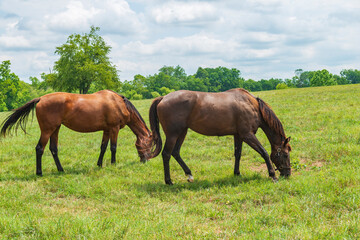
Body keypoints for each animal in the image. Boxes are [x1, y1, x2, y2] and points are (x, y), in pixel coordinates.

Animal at [0, 89, 155, 175]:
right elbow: (113, 147)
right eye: (150, 144)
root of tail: (41, 98)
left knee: (53, 149)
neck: (118, 103)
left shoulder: (106, 130)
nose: (145, 160)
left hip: (55, 129)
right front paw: (113, 164)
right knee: (39, 148)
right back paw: (39, 173)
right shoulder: (114, 128)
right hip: (47, 130)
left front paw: (99, 164)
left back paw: (61, 170)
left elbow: (103, 147)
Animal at [150, 87, 292, 184]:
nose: (287, 174)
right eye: (285, 154)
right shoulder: (247, 135)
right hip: (173, 135)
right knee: (166, 154)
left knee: (175, 153)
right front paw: (272, 175)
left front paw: (237, 173)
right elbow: (264, 152)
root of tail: (163, 98)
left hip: (182, 132)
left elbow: (238, 154)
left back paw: (189, 174)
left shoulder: (238, 135)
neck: (250, 104)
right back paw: (169, 181)